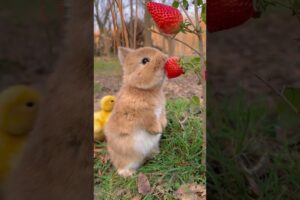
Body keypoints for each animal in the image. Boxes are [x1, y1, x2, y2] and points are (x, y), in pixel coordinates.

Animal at [104, 46, 168, 177]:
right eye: (145, 60)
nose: (165, 58)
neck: (141, 89)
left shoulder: (161, 110)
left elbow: (162, 117)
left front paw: (163, 126)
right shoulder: (143, 114)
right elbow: (150, 122)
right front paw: (157, 130)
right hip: (127, 155)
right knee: (122, 167)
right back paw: (128, 174)